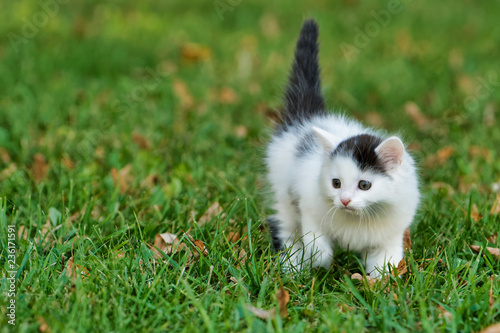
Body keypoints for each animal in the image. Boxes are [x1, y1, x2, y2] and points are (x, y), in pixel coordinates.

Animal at [264, 19, 420, 276]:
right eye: (335, 183)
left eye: (364, 185)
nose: (344, 200)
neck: (359, 218)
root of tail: (307, 119)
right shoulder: (310, 208)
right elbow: (318, 245)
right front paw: (319, 263)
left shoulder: (391, 233)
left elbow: (386, 265)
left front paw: (379, 282)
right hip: (282, 189)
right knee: (286, 226)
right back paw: (292, 264)